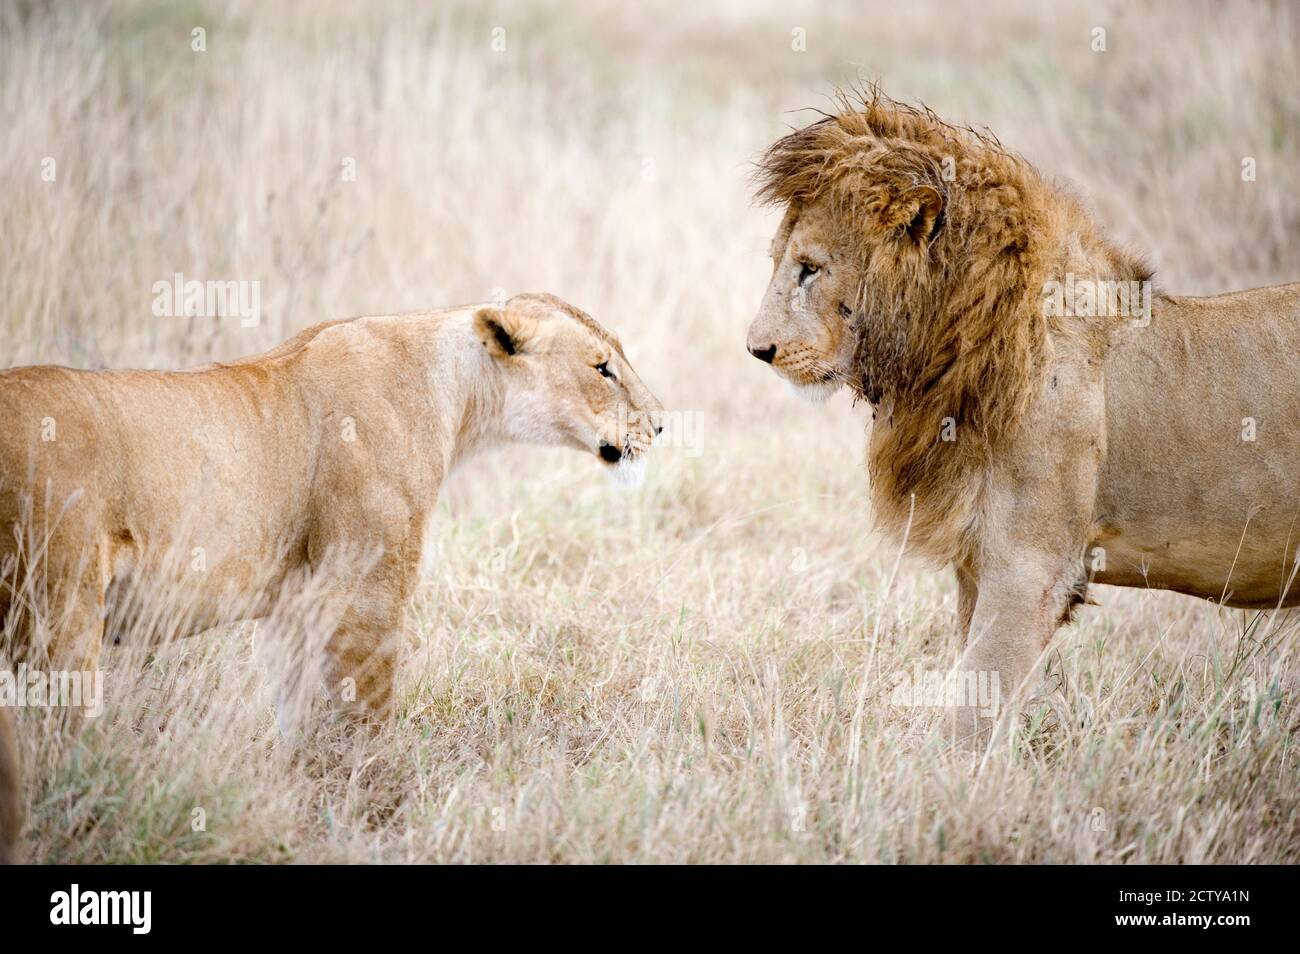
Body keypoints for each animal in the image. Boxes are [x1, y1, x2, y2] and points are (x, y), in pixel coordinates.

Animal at [2, 291, 660, 722]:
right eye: (602, 368)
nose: (660, 423)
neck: (455, 395)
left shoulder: (296, 606)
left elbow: (296, 720)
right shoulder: (364, 592)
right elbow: (366, 720)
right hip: (58, 612)